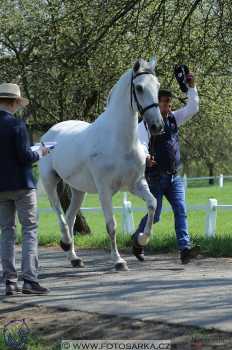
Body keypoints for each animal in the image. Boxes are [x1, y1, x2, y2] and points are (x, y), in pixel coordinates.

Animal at [39, 58, 163, 270]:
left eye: (157, 85)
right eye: (139, 88)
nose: (157, 126)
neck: (119, 141)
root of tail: (49, 133)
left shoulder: (136, 185)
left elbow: (152, 204)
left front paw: (141, 240)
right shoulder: (105, 190)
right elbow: (111, 225)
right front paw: (118, 261)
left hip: (78, 191)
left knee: (70, 218)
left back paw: (74, 257)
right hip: (50, 182)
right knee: (60, 215)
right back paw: (65, 243)